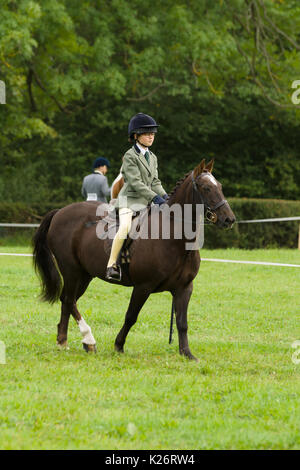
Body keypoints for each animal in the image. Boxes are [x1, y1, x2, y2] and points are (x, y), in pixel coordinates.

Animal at [32, 160, 234, 362]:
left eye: (220, 186)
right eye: (206, 188)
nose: (229, 219)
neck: (173, 238)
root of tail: (60, 211)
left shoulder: (184, 288)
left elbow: (182, 322)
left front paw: (187, 353)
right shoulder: (143, 286)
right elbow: (131, 316)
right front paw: (118, 345)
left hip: (85, 275)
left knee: (68, 300)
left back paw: (63, 341)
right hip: (71, 270)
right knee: (69, 300)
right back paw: (89, 339)